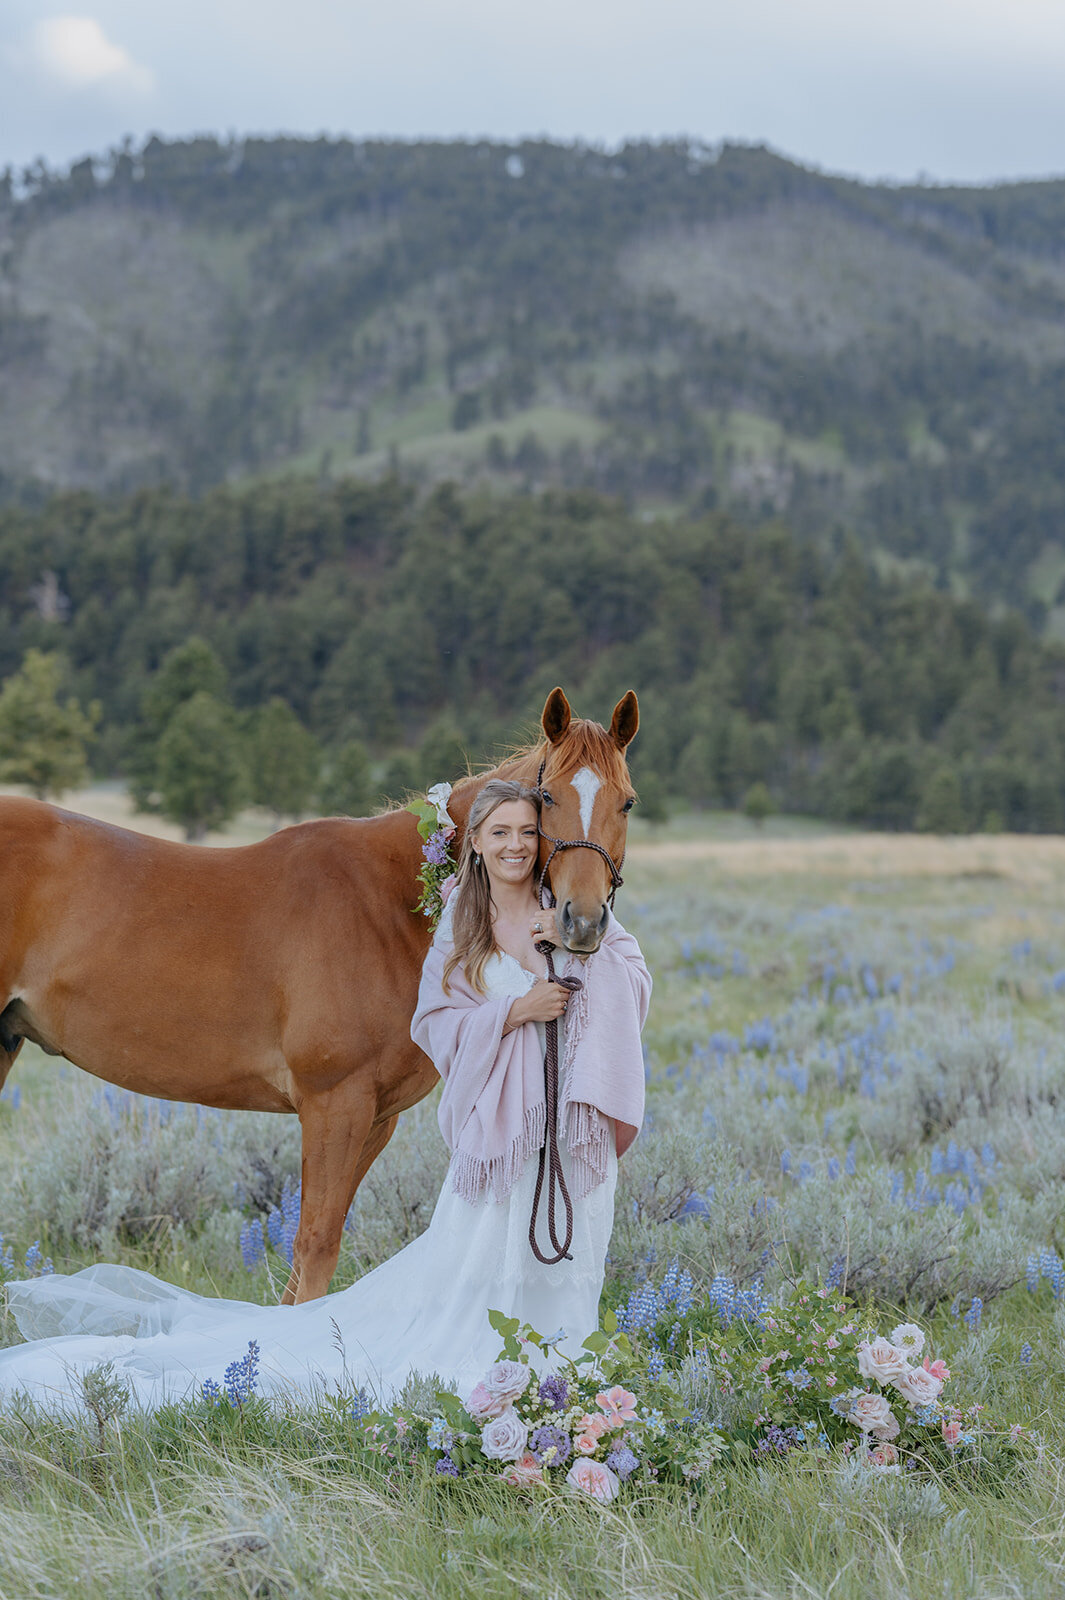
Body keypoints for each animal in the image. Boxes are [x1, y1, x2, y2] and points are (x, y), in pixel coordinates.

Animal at [0, 684, 630, 1299]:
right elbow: (317, 1244)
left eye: (626, 802)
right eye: (546, 797)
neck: (393, 905)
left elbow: (310, 1256)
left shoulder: (374, 1117)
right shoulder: (334, 1104)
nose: (581, 922)